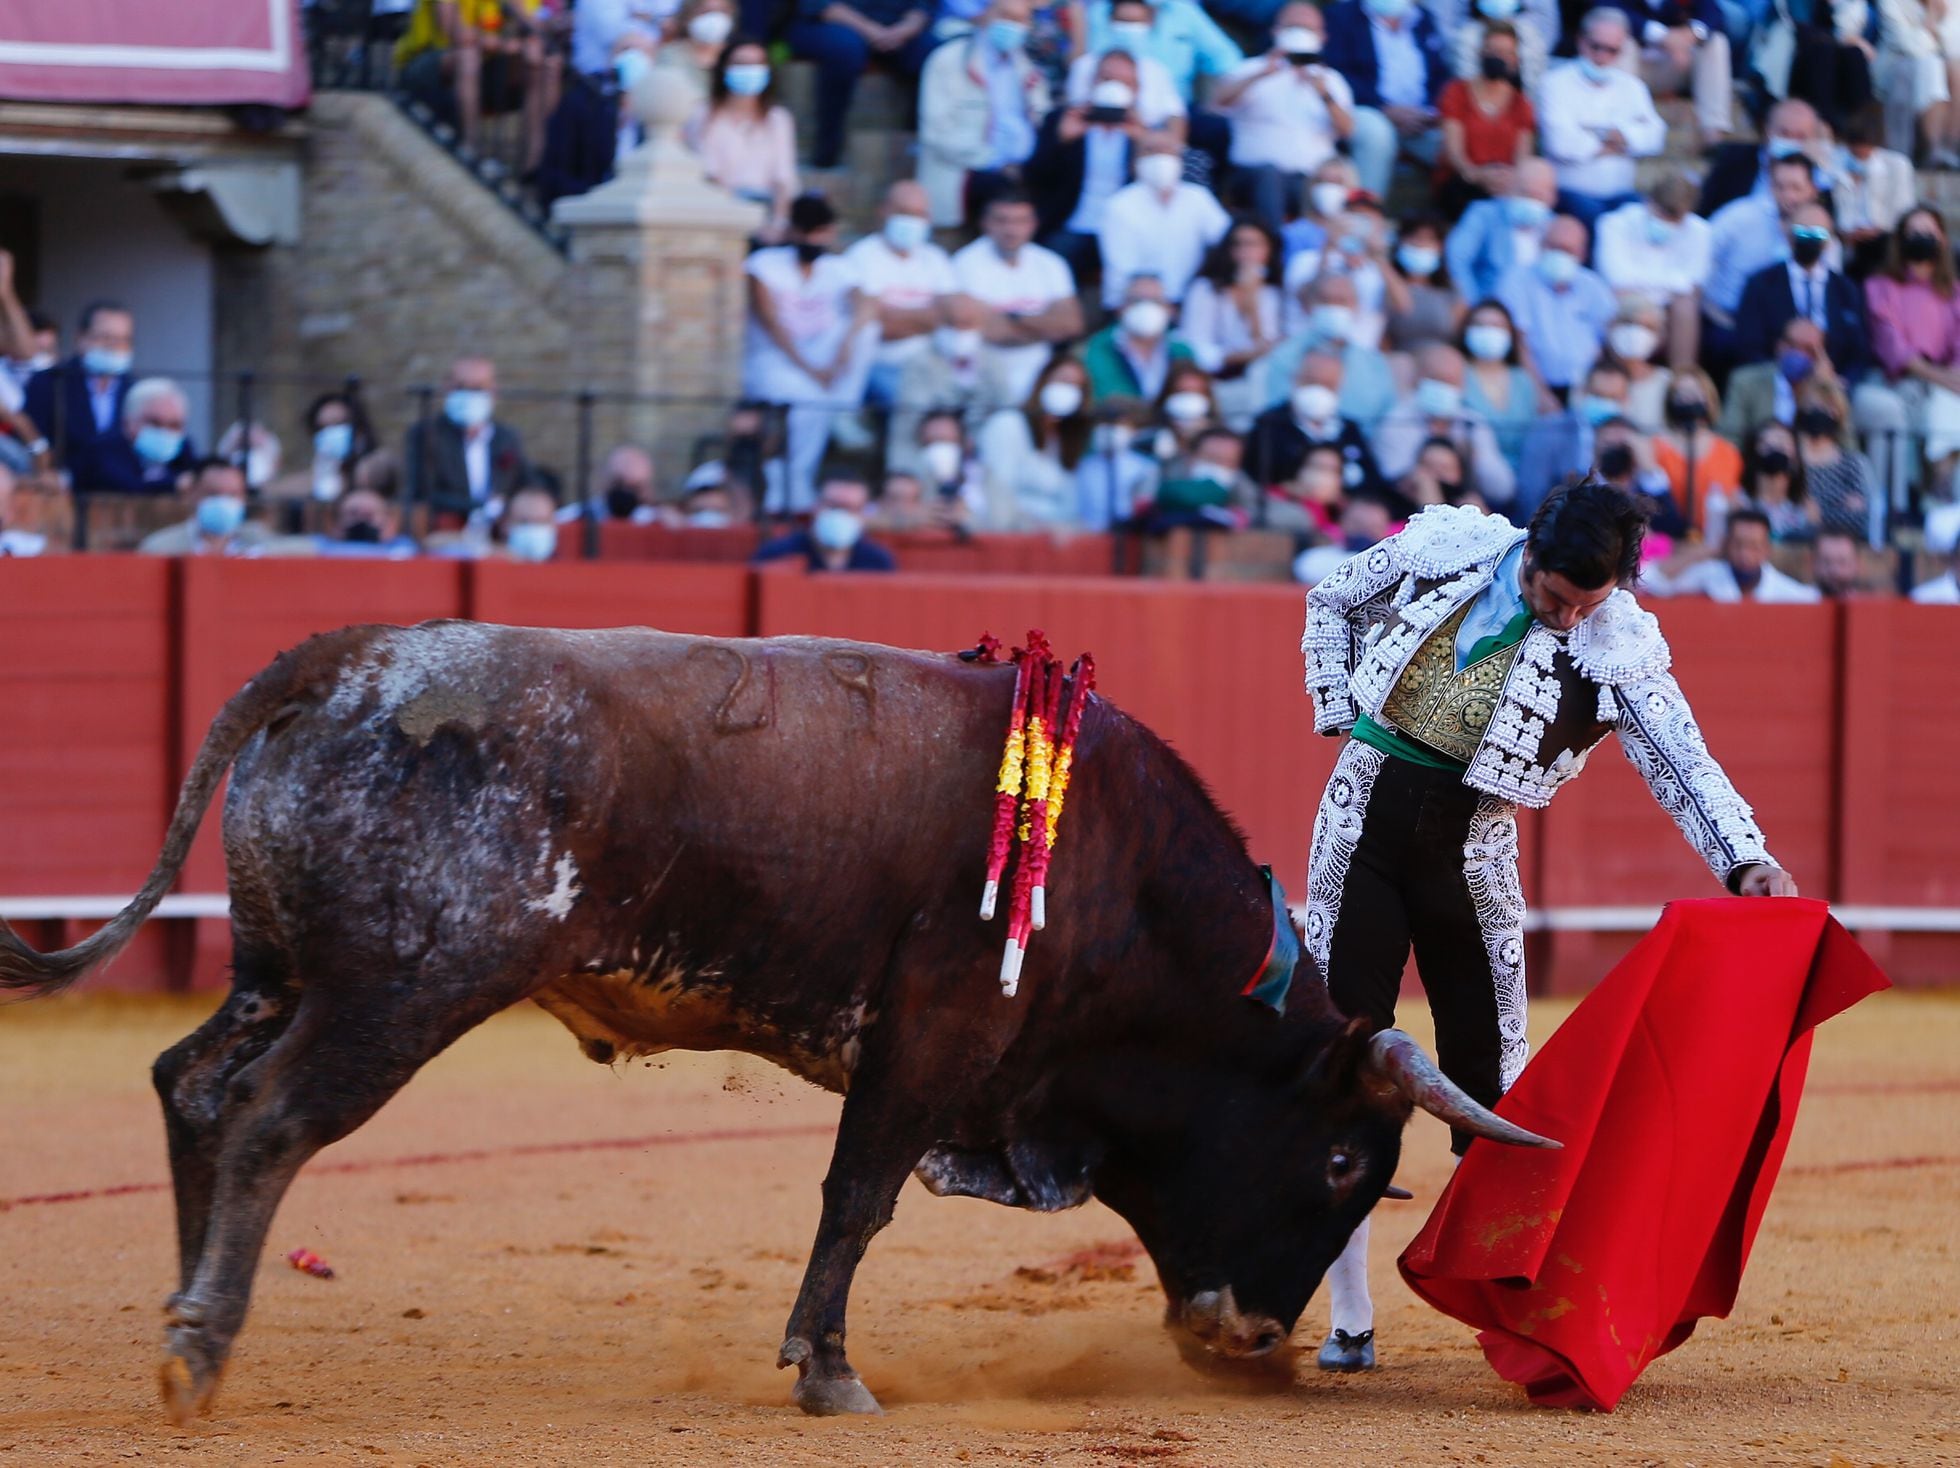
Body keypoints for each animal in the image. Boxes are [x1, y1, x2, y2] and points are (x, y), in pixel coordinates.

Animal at [0, 623, 1552, 1419]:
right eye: (1343, 1161)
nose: (1253, 1340)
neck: (1114, 871)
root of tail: (343, 657)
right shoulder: (934, 1038)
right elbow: (857, 1197)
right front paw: (832, 1374)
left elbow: (853, 1198)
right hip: (398, 989)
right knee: (270, 1119)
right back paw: (200, 1350)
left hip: (277, 966)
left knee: (194, 1088)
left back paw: (182, 1317)